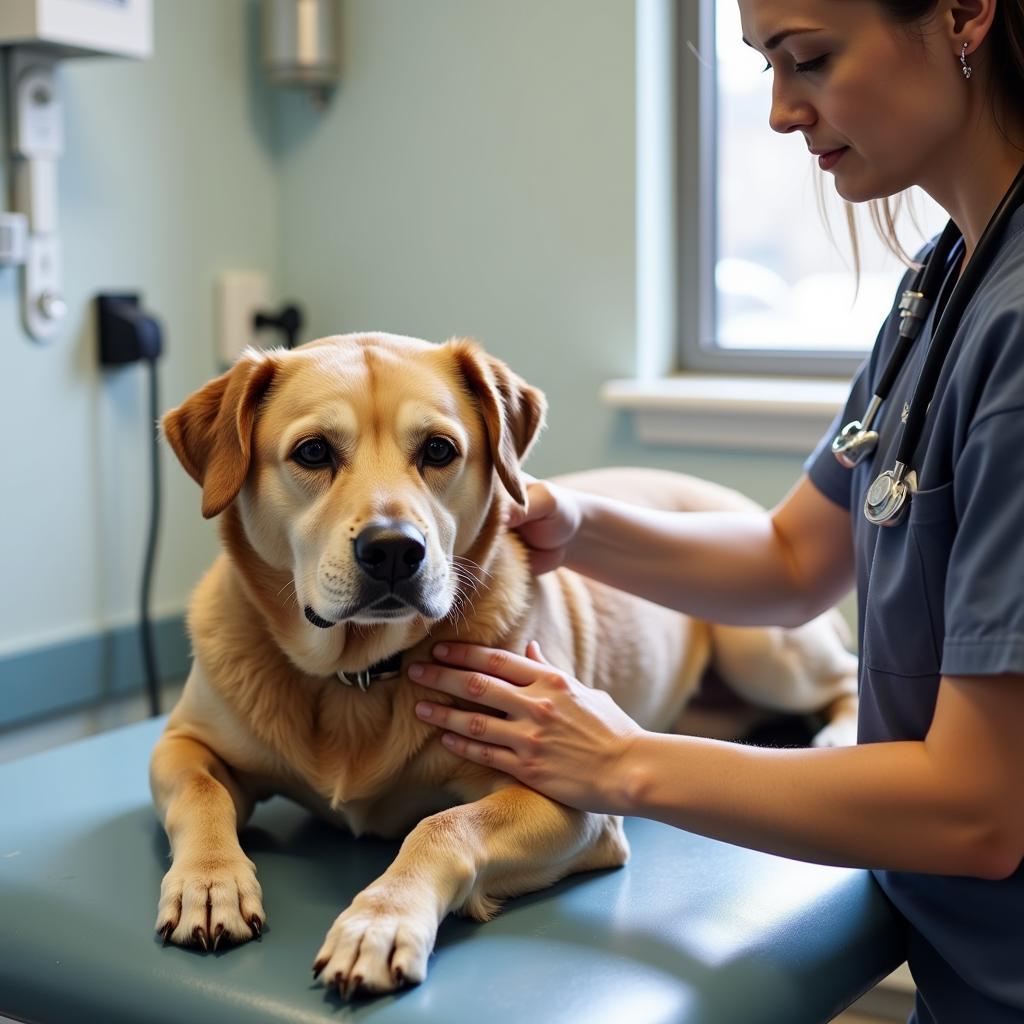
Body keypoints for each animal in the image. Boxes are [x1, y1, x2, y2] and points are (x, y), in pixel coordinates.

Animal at [151, 331, 856, 995]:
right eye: (314, 452)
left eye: (438, 450)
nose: (393, 550)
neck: (361, 673)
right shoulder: (181, 742)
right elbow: (202, 791)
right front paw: (208, 883)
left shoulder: (575, 803)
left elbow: (443, 825)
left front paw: (379, 922)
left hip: (765, 649)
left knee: (844, 675)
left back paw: (837, 735)